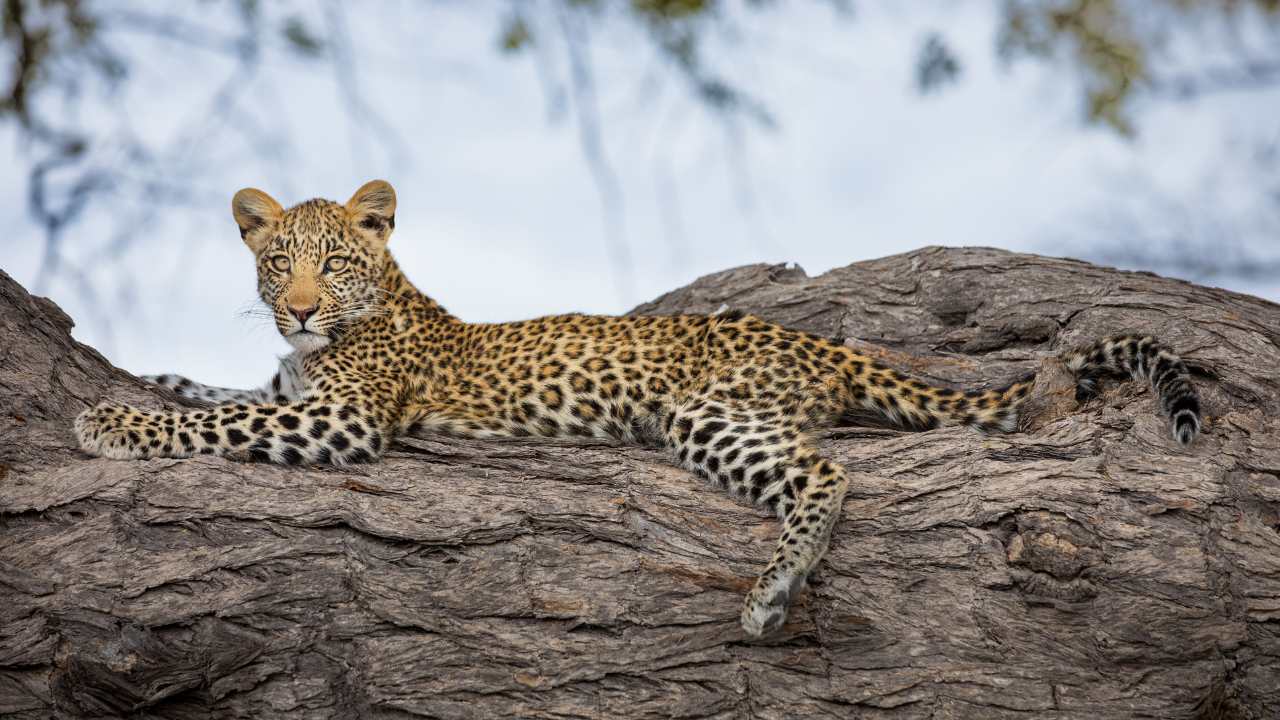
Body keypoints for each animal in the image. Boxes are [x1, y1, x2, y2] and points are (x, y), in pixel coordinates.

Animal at [75, 180, 1203, 637]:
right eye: (277, 265)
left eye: (336, 263)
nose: (302, 309)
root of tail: (822, 341)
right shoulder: (291, 390)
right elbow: (218, 393)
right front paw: (147, 381)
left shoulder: (341, 420)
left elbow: (216, 424)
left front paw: (112, 424)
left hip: (707, 416)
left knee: (825, 470)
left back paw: (772, 591)